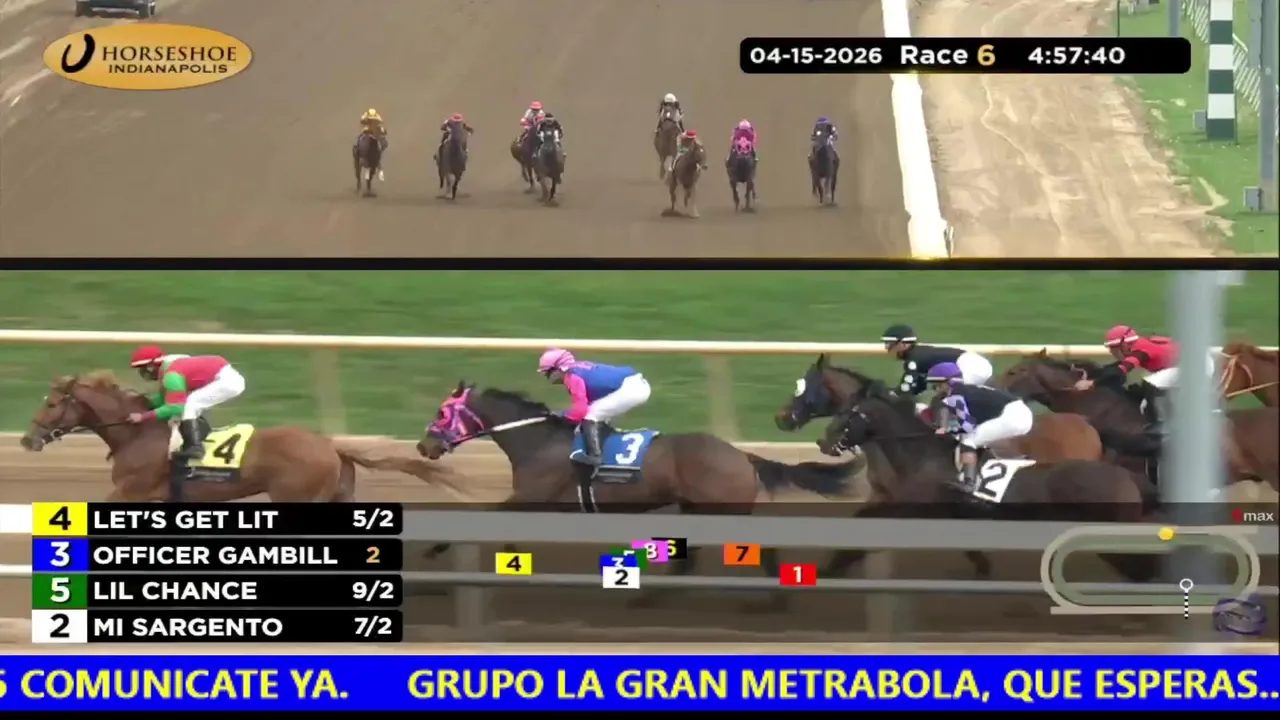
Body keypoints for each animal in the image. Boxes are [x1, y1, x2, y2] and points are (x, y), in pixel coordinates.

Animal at [18, 372, 460, 503]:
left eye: (53, 403)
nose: (26, 440)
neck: (137, 435)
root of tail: (329, 444)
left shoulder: (132, 493)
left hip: (296, 499)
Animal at [415, 381, 860, 611]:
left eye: (441, 413)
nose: (424, 446)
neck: (538, 441)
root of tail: (741, 455)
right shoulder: (534, 503)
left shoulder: (531, 497)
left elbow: (484, 518)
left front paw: (433, 555)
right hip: (696, 508)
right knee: (692, 557)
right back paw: (654, 597)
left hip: (723, 507)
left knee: (756, 547)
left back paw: (774, 600)